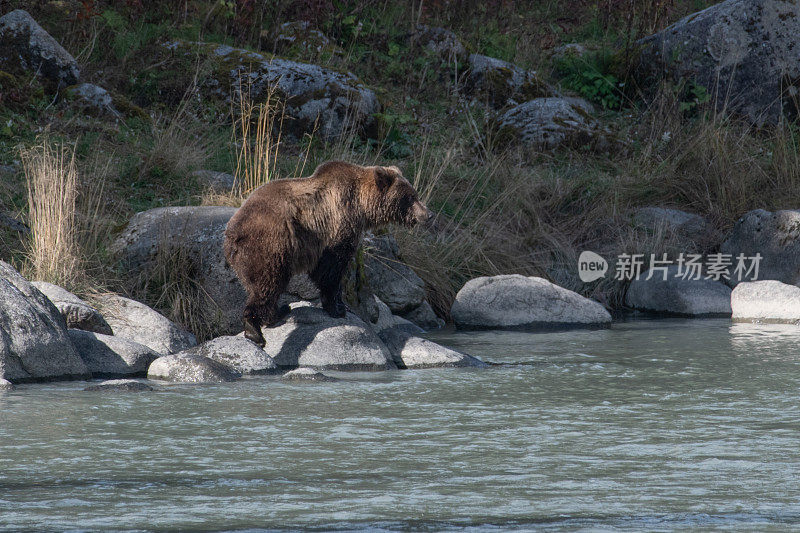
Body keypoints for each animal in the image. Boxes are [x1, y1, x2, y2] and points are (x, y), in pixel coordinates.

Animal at [222, 160, 432, 348]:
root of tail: (233, 231)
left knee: (258, 286)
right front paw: (337, 308)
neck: (363, 207)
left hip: (245, 260)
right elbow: (331, 269)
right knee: (268, 284)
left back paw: (277, 311)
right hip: (269, 246)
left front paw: (339, 305)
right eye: (410, 197)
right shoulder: (339, 222)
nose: (428, 214)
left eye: (415, 194)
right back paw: (255, 329)